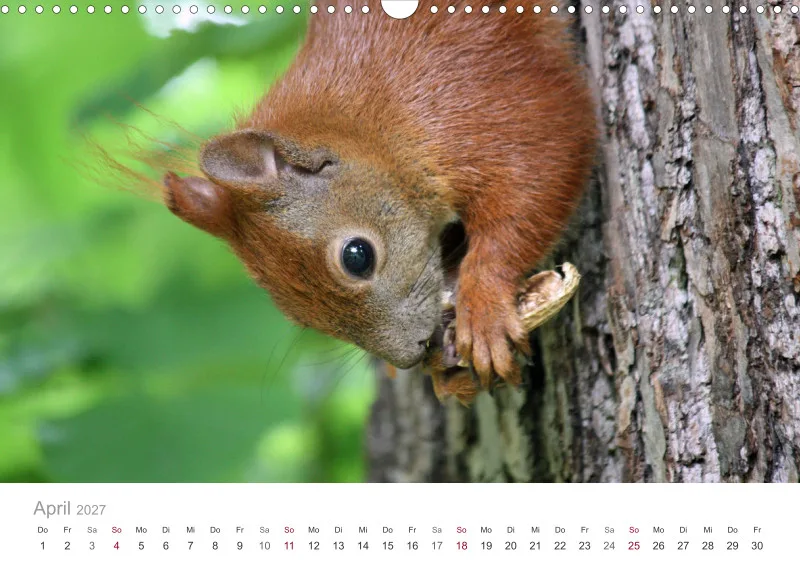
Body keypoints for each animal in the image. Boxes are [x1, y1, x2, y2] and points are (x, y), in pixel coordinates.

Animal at [161, 0, 597, 396]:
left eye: (358, 256)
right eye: (300, 317)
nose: (412, 355)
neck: (370, 122)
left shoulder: (478, 101)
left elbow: (543, 165)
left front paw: (484, 309)